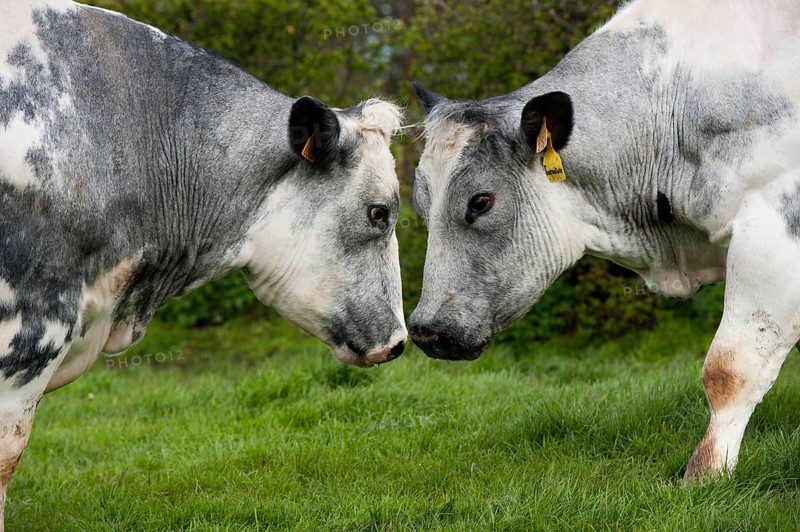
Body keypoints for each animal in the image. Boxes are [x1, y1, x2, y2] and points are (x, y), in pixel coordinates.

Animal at [410, 0, 800, 483]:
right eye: (419, 203)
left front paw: (706, 475)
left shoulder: (773, 230)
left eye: (480, 202)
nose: (426, 328)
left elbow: (730, 369)